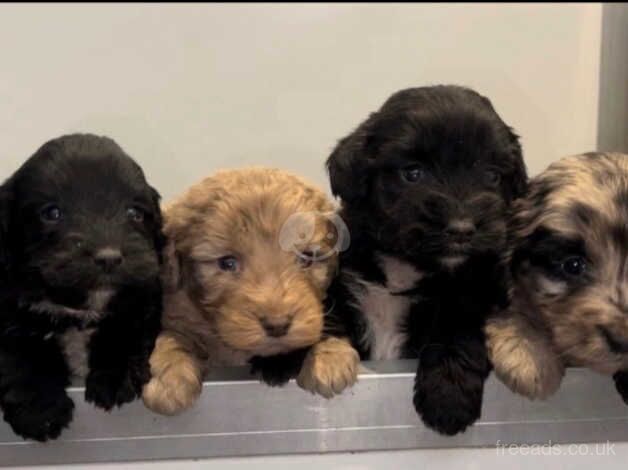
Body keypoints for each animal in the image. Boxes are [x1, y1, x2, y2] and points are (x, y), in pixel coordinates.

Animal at [0, 135, 164, 440]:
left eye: (134, 212)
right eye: (51, 213)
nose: (109, 257)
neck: (79, 307)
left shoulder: (141, 296)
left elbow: (125, 331)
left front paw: (116, 375)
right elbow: (18, 350)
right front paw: (39, 407)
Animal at [143, 166, 358, 414]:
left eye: (306, 258)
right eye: (227, 263)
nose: (277, 325)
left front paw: (330, 357)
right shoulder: (176, 312)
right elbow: (172, 336)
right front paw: (168, 378)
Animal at [326, 85, 528, 436]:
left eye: (492, 175)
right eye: (413, 173)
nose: (462, 229)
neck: (405, 266)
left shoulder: (474, 291)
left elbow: (457, 331)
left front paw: (448, 396)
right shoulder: (348, 285)